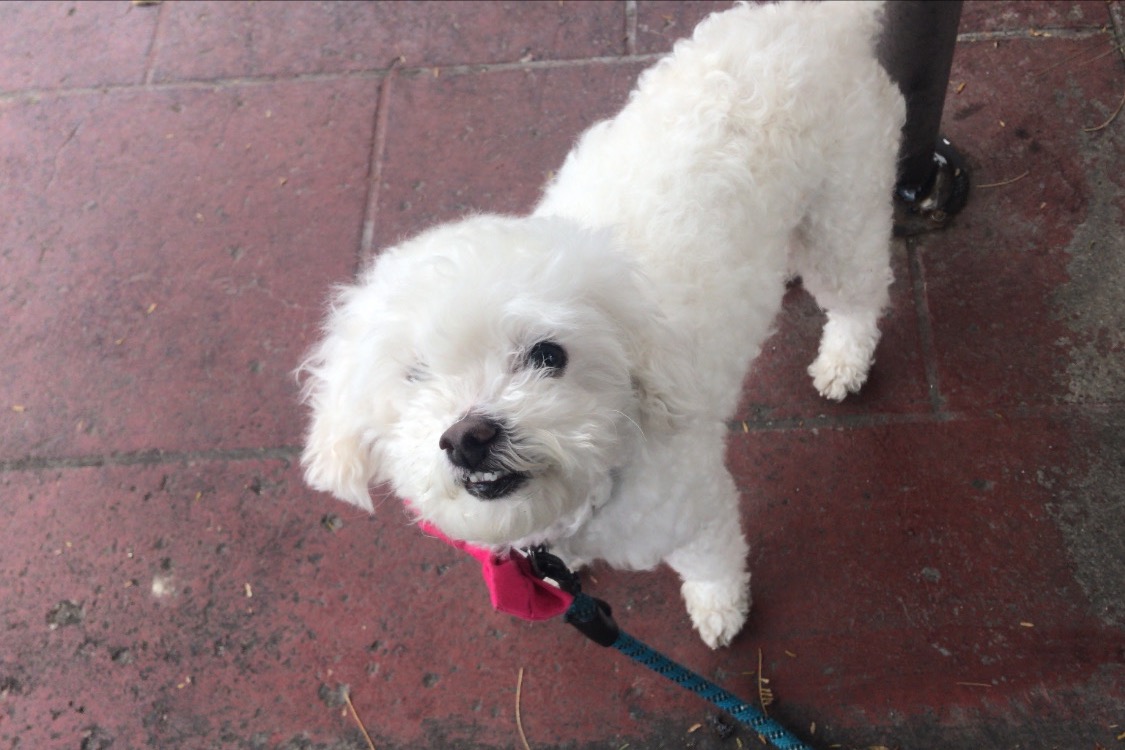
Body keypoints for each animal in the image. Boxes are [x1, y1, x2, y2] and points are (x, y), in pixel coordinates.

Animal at [300, 1, 904, 648]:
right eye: (414, 376)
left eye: (549, 355)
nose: (468, 437)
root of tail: (821, 16)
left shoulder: (698, 510)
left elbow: (713, 563)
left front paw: (720, 609)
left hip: (845, 211)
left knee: (858, 297)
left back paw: (844, 360)